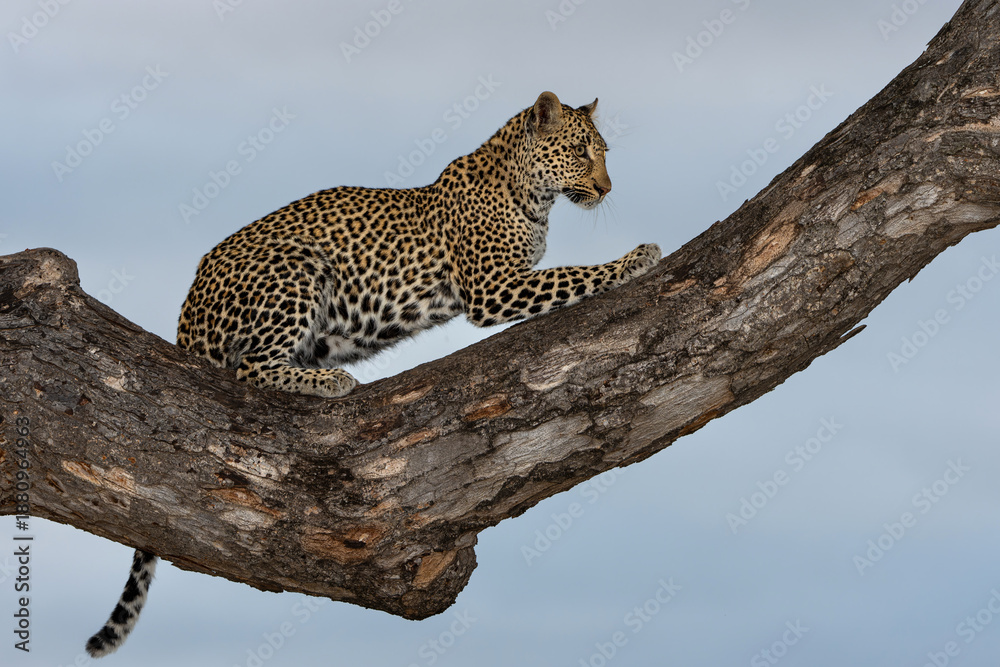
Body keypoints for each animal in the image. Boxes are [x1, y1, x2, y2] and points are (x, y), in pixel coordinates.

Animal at [85, 91, 660, 657]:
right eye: (582, 152)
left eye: (603, 152)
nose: (607, 189)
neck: (532, 196)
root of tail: (187, 318)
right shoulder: (493, 286)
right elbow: (573, 275)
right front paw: (638, 257)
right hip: (297, 264)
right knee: (250, 367)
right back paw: (329, 383)